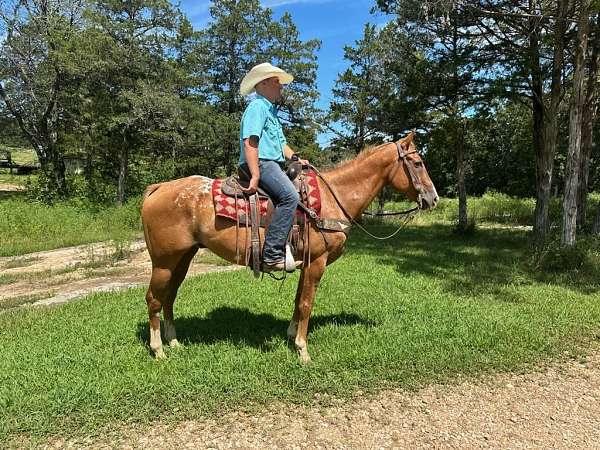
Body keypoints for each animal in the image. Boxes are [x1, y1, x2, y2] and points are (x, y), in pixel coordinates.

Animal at [143, 132, 438, 364]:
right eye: (418, 163)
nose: (433, 198)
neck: (333, 197)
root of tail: (159, 187)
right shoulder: (317, 262)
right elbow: (307, 303)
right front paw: (302, 350)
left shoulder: (305, 262)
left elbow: (298, 301)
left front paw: (291, 335)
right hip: (164, 262)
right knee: (154, 298)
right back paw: (158, 349)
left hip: (182, 258)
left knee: (169, 296)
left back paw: (174, 342)